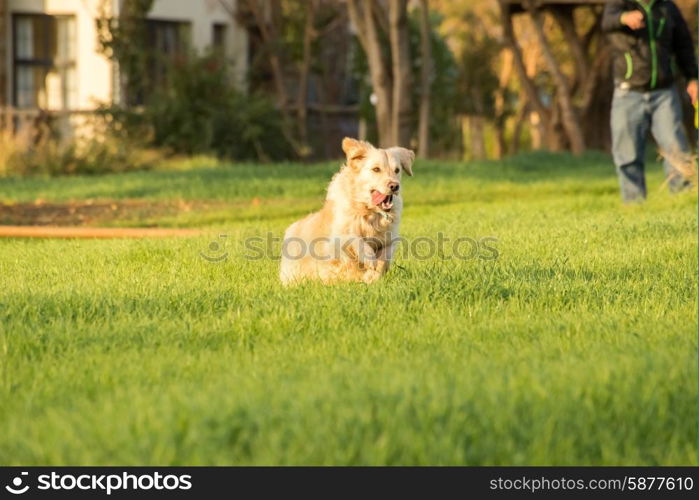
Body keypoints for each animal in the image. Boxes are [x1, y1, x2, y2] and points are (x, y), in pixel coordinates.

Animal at [280, 137, 416, 286]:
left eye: (397, 170)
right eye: (376, 169)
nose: (394, 186)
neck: (368, 211)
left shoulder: (390, 239)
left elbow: (384, 258)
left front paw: (372, 275)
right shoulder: (338, 237)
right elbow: (355, 240)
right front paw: (369, 261)